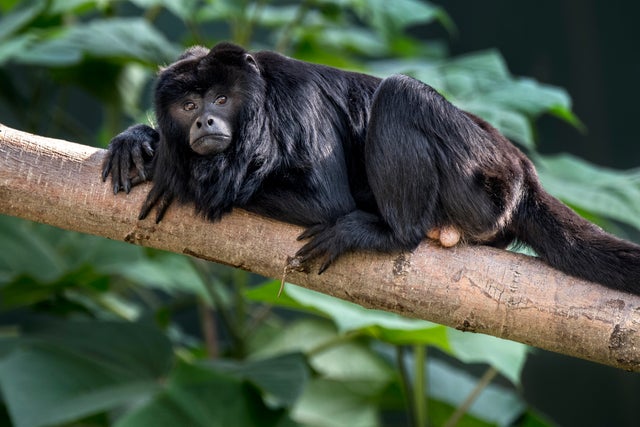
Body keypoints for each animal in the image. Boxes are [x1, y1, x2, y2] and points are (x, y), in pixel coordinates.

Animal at [102, 42, 640, 294]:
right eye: (189, 105)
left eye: (220, 98)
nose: (206, 120)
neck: (258, 116)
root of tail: (522, 171)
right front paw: (140, 143)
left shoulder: (296, 102)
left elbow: (326, 201)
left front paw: (173, 174)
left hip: (483, 186)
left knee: (401, 93)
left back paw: (390, 232)